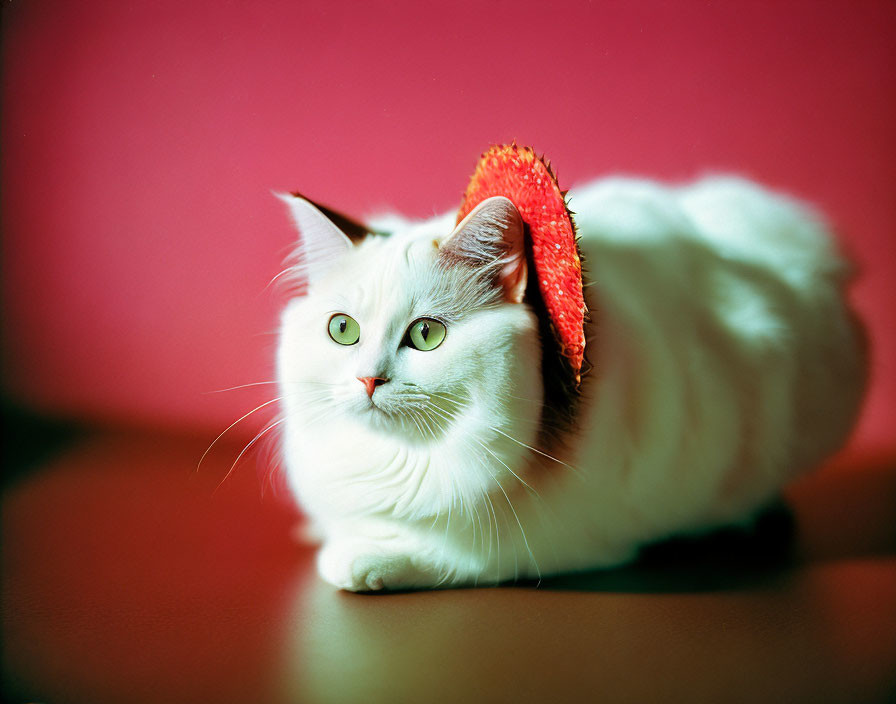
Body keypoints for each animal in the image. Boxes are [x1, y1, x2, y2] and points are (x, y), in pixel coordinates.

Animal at [274, 175, 868, 588]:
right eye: (343, 330)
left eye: (426, 335)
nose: (367, 379)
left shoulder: (553, 538)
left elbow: (448, 555)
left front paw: (359, 557)